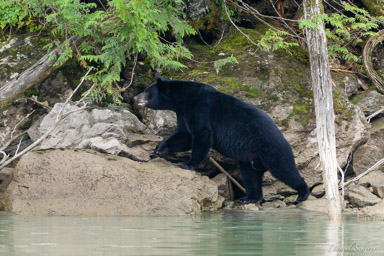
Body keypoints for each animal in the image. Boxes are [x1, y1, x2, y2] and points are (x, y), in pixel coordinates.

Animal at [134, 73, 308, 204]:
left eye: (147, 92)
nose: (135, 97)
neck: (182, 99)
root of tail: (284, 138)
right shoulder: (182, 113)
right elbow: (184, 136)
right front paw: (157, 150)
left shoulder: (198, 108)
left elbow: (202, 135)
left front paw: (187, 164)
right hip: (250, 158)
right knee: (251, 176)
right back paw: (249, 198)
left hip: (271, 148)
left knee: (284, 169)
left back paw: (302, 193)